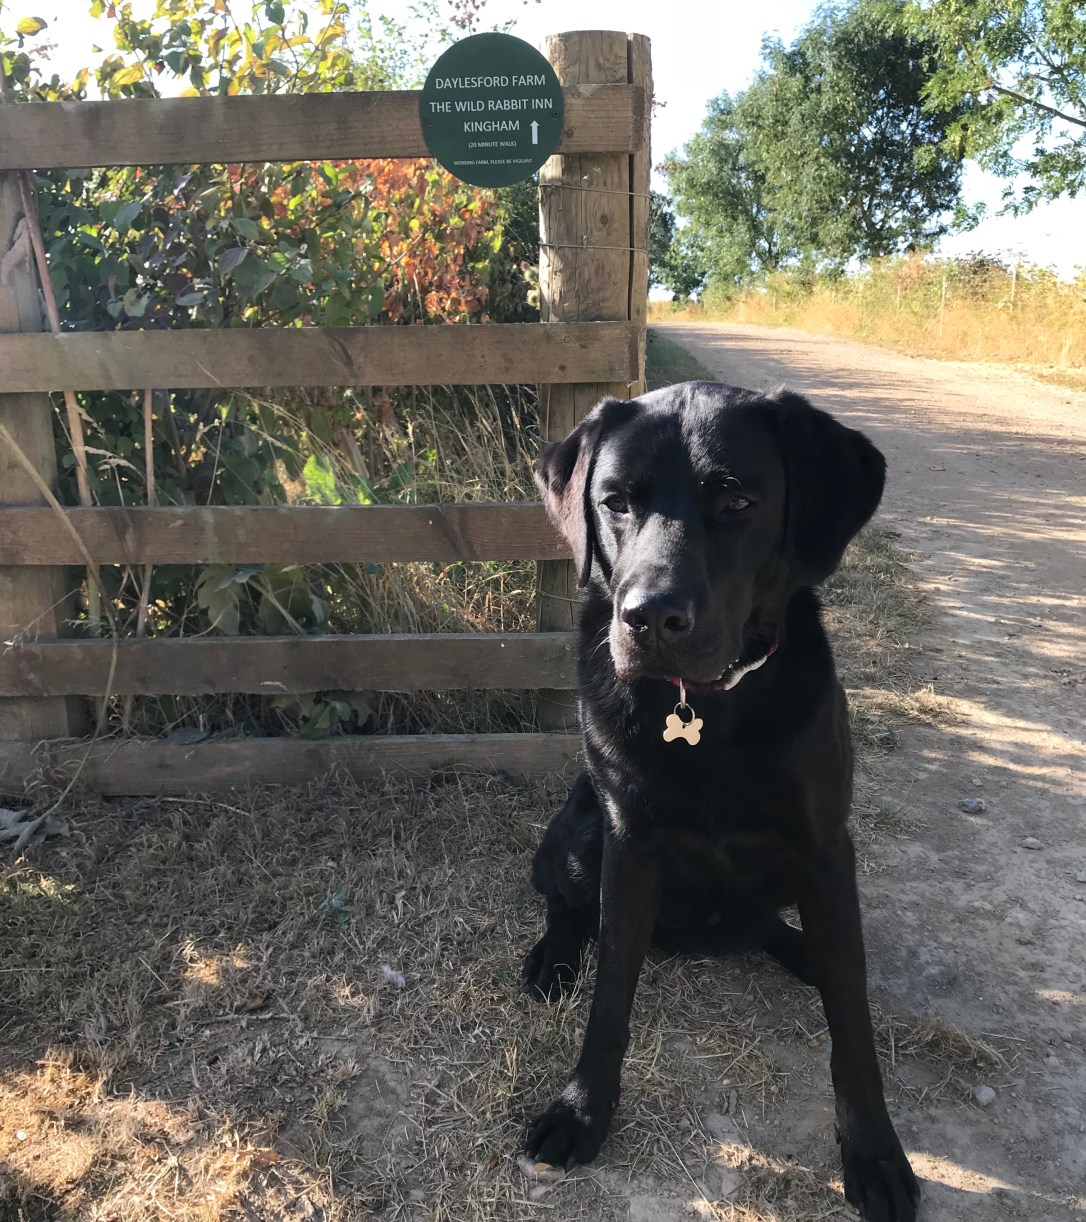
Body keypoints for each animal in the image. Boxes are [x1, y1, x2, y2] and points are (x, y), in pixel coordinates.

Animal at [522, 382, 920, 1222]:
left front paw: (873, 1152)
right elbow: (609, 999)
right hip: (579, 830)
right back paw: (553, 958)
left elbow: (853, 1027)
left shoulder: (826, 850)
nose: (649, 617)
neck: (703, 709)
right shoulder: (627, 844)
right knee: (565, 905)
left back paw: (802, 952)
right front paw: (581, 1110)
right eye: (615, 502)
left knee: (783, 933)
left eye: (736, 499)